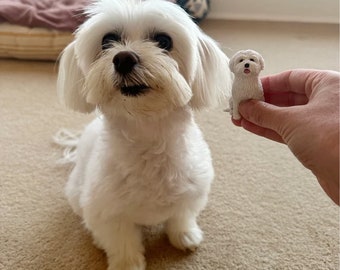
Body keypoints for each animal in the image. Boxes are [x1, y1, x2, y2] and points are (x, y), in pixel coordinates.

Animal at [55, 1, 231, 268]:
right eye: (107, 40)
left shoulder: (190, 192)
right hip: (77, 193)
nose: (124, 58)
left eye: (164, 41)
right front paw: (127, 263)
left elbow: (181, 216)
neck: (147, 135)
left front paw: (185, 236)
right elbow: (122, 242)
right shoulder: (108, 212)